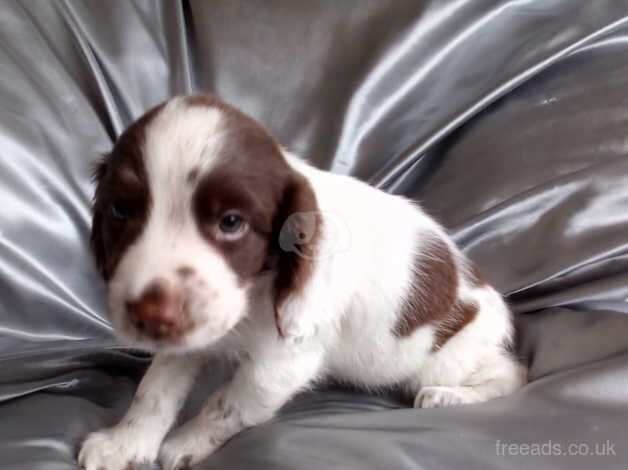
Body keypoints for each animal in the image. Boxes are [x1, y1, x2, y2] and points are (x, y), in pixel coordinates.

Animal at [77, 95, 524, 470]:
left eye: (231, 222)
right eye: (120, 210)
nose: (151, 314)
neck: (257, 291)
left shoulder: (283, 362)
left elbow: (227, 405)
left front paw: (185, 443)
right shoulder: (195, 331)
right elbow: (154, 390)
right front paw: (125, 444)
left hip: (444, 358)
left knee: (509, 374)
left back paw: (451, 395)